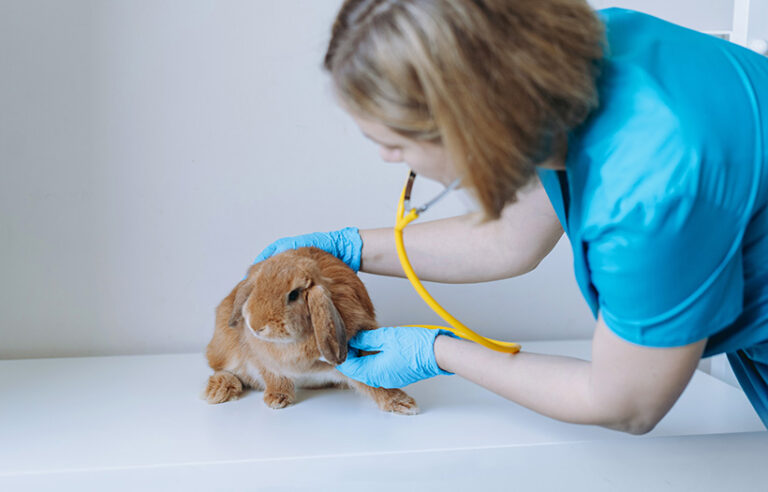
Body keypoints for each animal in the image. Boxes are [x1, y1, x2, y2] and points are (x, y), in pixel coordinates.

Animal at [204, 246, 420, 416]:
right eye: (255, 288)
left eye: (293, 295)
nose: (256, 325)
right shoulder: (264, 360)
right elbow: (274, 376)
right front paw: (277, 399)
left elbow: (374, 381)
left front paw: (404, 404)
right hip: (226, 349)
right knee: (223, 369)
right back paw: (219, 390)